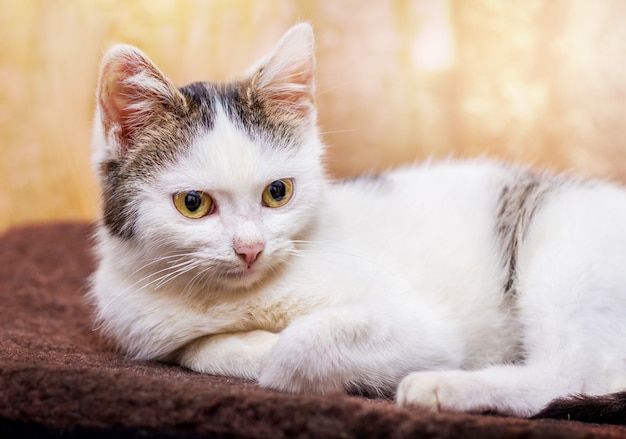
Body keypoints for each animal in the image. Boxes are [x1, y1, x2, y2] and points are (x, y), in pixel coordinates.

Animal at [88, 21, 624, 420]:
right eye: (193, 204)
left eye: (277, 193)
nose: (250, 248)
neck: (239, 297)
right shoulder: (142, 326)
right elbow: (197, 349)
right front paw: (245, 344)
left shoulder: (423, 326)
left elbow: (301, 345)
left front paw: (281, 358)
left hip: (562, 247)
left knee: (567, 377)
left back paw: (442, 387)